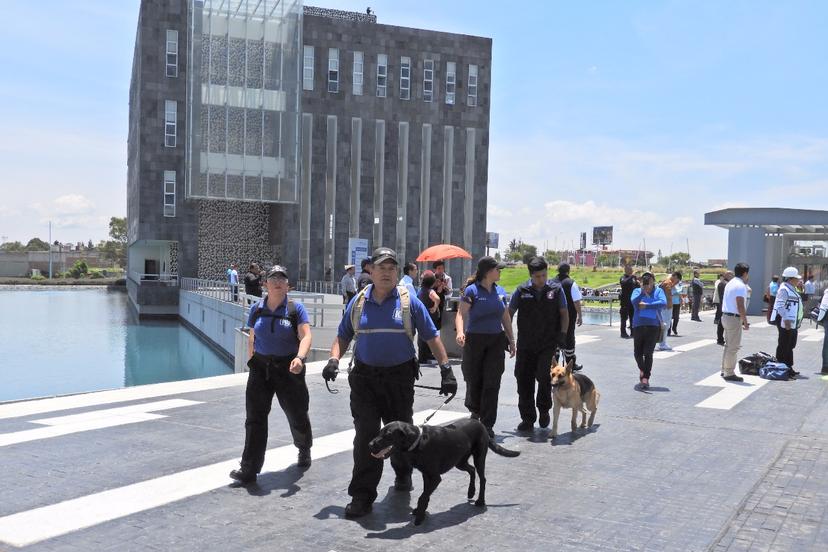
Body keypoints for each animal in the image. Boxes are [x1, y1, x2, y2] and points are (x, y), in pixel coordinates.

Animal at [368, 420, 516, 524]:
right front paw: (421, 511)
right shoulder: (426, 474)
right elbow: (426, 494)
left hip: (479, 457)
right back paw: (470, 491)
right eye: (380, 432)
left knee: (482, 478)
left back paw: (480, 501)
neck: (419, 441)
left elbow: (423, 496)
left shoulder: (435, 477)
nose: (369, 444)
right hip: (459, 462)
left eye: (388, 435)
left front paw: (420, 516)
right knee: (471, 470)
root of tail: (481, 424)